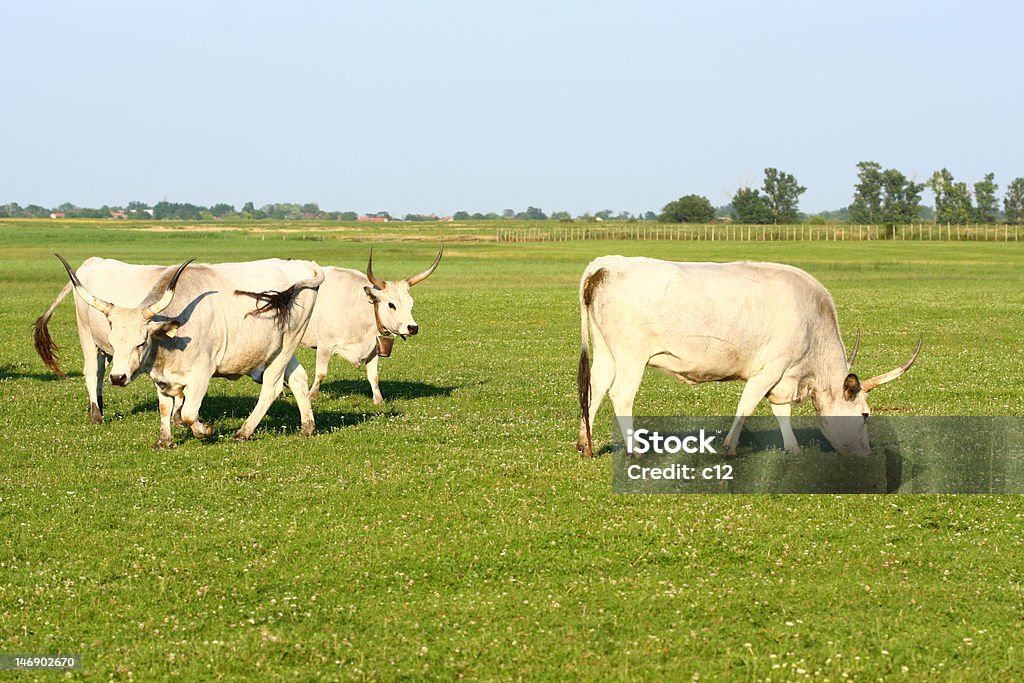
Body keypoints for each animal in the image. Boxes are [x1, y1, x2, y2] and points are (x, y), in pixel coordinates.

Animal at [35, 255, 323, 448]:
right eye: (114, 343)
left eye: (141, 342)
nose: (118, 378)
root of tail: (303, 265)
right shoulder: (160, 376)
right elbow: (165, 407)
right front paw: (164, 440)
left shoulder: (202, 372)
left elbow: (188, 413)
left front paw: (205, 430)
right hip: (277, 348)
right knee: (298, 379)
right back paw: (308, 427)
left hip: (287, 344)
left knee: (272, 387)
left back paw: (243, 432)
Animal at [301, 245, 442, 403]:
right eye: (391, 304)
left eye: (411, 304)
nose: (412, 327)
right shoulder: (324, 346)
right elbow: (321, 373)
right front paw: (311, 396)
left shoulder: (373, 349)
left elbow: (373, 376)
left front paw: (378, 400)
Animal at [577, 255, 921, 458]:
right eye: (865, 415)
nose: (866, 453)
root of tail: (605, 265)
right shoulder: (770, 369)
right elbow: (747, 405)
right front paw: (729, 447)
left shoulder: (783, 376)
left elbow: (781, 412)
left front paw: (793, 448)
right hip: (631, 357)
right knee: (621, 395)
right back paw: (635, 450)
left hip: (607, 353)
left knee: (595, 389)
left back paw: (586, 445)